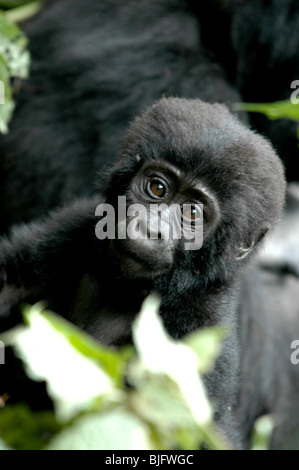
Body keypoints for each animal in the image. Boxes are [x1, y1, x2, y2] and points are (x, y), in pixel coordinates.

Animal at [0, 98, 288, 448]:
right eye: (157, 187)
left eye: (193, 213)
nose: (150, 228)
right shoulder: (82, 225)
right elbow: (10, 280)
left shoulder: (194, 334)